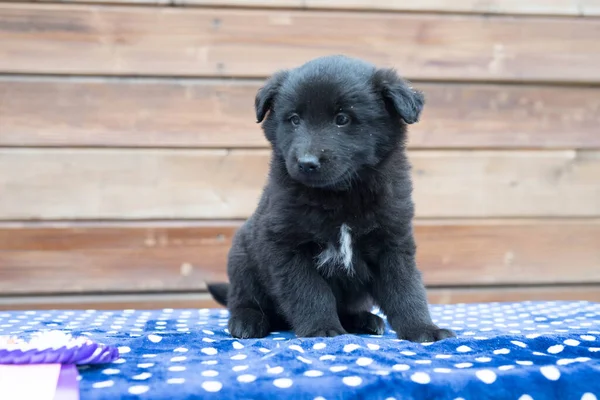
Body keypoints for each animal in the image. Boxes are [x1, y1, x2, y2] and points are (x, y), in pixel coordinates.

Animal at [207, 54, 454, 342]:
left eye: (342, 118)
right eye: (294, 119)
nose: (307, 163)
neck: (341, 196)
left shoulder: (393, 241)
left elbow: (406, 288)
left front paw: (423, 328)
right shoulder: (286, 245)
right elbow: (309, 291)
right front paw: (321, 329)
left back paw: (364, 320)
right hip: (242, 259)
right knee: (241, 299)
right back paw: (247, 321)